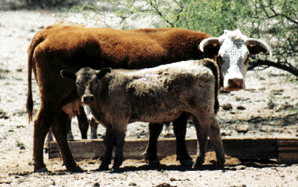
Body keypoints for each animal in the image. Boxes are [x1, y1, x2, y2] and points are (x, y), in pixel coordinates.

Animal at [60, 59, 224, 172]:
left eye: (95, 81)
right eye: (77, 82)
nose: (87, 98)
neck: (105, 89)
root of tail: (199, 62)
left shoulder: (119, 118)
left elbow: (119, 140)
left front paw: (116, 164)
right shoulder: (109, 121)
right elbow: (108, 141)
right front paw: (103, 164)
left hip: (203, 109)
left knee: (213, 129)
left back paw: (216, 161)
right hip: (196, 112)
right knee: (202, 133)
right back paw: (202, 162)